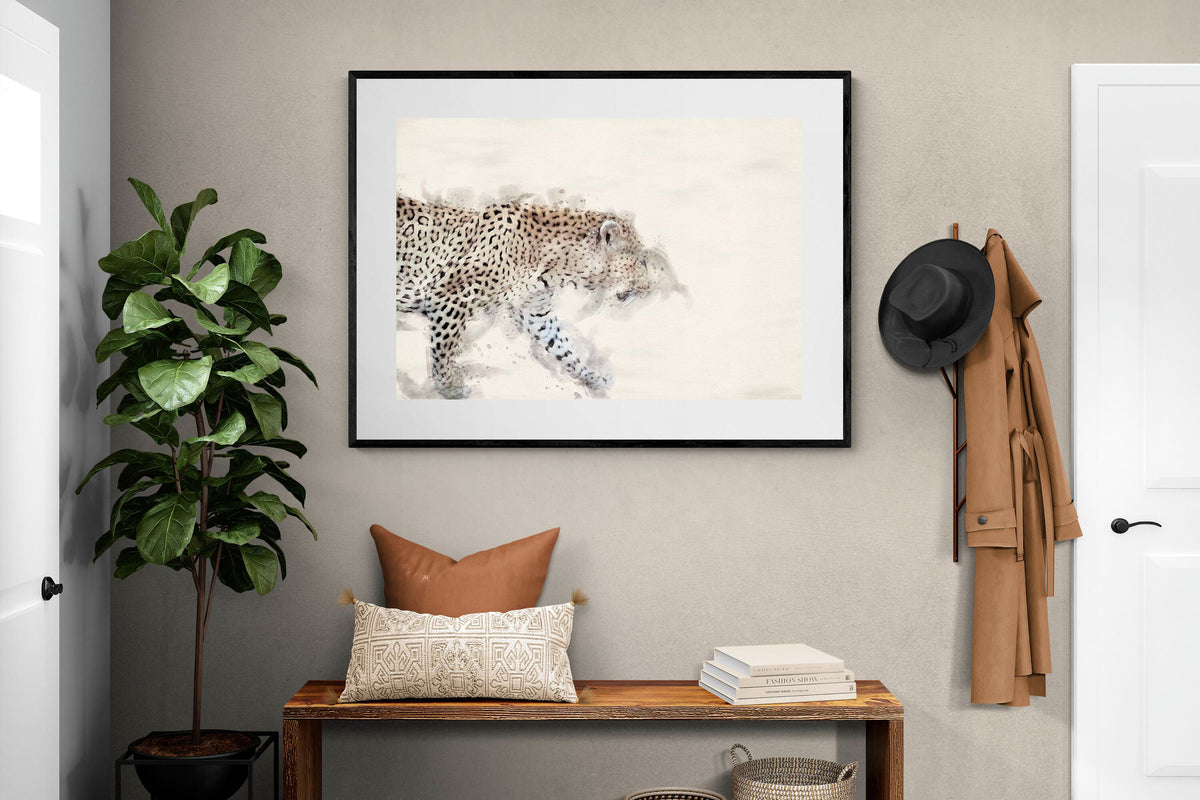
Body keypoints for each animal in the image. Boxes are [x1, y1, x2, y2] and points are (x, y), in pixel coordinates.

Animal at [395, 193, 675, 399]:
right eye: (640, 261)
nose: (651, 286)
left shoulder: (536, 311)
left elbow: (563, 345)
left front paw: (591, 376)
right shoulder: (450, 295)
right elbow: (445, 346)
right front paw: (450, 387)